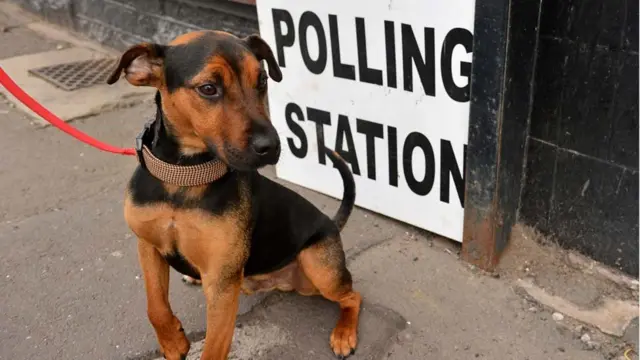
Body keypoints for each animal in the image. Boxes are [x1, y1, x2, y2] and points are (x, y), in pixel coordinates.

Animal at [107, 30, 362, 360]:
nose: (272, 146)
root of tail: (332, 223)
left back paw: (344, 334)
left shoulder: (222, 284)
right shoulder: (148, 246)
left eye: (262, 80)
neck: (184, 178)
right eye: (208, 88)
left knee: (353, 297)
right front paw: (173, 342)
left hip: (320, 269)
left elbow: (213, 348)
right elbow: (155, 305)